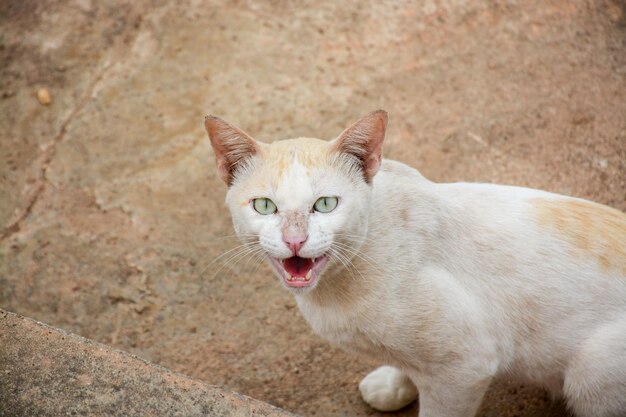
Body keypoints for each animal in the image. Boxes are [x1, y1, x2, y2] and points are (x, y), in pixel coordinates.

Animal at [204, 110, 624, 416]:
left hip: (590, 376)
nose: (295, 239)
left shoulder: (465, 367)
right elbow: (408, 364)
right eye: (264, 206)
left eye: (325, 204)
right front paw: (394, 385)